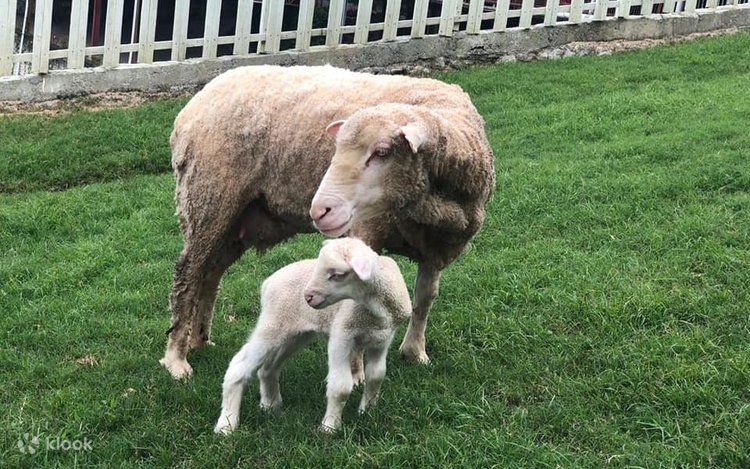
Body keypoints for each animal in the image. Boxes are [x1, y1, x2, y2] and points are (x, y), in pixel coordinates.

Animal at [161, 65, 495, 380]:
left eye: (382, 152)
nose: (319, 210)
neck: (434, 201)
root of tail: (193, 106)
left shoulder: (438, 244)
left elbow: (424, 298)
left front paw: (414, 352)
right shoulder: (366, 231)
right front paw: (357, 373)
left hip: (236, 220)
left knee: (210, 274)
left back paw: (200, 340)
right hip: (208, 198)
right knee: (187, 275)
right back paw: (177, 358)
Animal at [214, 237, 411, 434]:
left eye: (337, 274)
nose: (307, 297)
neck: (376, 310)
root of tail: (267, 283)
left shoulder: (383, 338)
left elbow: (376, 375)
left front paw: (367, 411)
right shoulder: (342, 335)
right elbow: (340, 386)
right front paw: (329, 427)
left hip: (295, 334)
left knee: (269, 367)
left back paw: (270, 405)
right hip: (272, 324)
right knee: (239, 365)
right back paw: (226, 425)